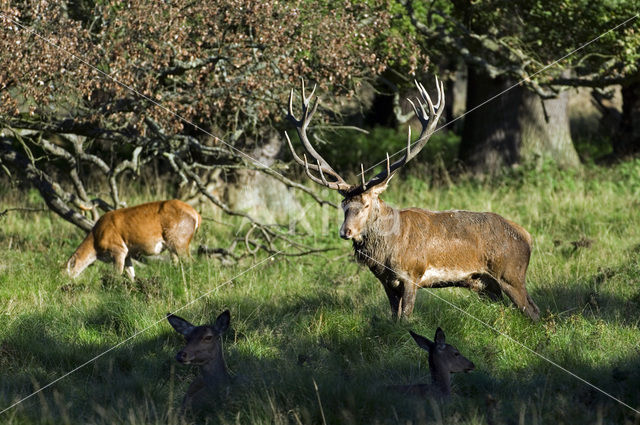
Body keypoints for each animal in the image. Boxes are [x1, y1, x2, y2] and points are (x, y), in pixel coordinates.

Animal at [64, 199, 200, 278]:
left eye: (64, 273)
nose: (60, 285)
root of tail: (196, 214)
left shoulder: (118, 249)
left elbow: (117, 275)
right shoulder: (128, 253)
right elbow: (131, 275)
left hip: (180, 240)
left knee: (192, 262)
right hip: (173, 245)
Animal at [284, 78, 540, 320]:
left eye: (365, 204)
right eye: (343, 205)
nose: (345, 232)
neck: (387, 252)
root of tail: (527, 236)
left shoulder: (412, 274)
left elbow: (406, 318)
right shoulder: (387, 282)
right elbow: (394, 319)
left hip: (511, 274)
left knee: (534, 310)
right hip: (486, 285)